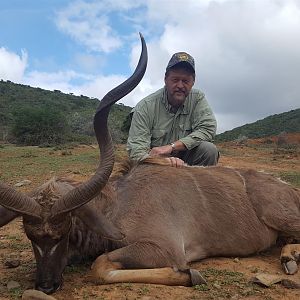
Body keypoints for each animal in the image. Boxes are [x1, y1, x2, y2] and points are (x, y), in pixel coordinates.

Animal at [0, 34, 300, 292]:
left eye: (62, 234)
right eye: (30, 236)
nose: (46, 286)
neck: (117, 205)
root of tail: (289, 190)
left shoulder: (164, 248)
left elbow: (100, 265)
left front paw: (190, 275)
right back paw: (287, 258)